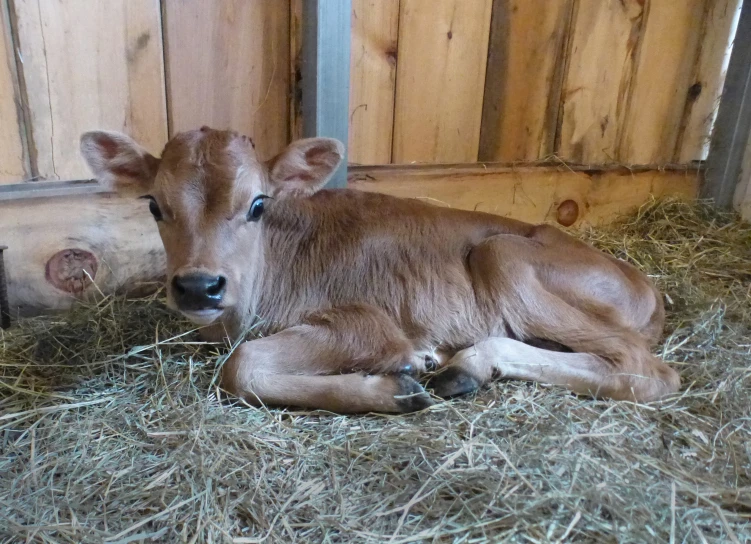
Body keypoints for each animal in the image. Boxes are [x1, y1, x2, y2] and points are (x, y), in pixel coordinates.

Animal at [81, 127, 680, 414]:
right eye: (154, 205)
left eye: (257, 204)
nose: (199, 286)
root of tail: (649, 288)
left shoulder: (365, 322)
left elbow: (242, 367)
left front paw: (393, 390)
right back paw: (462, 368)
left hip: (503, 254)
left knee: (644, 370)